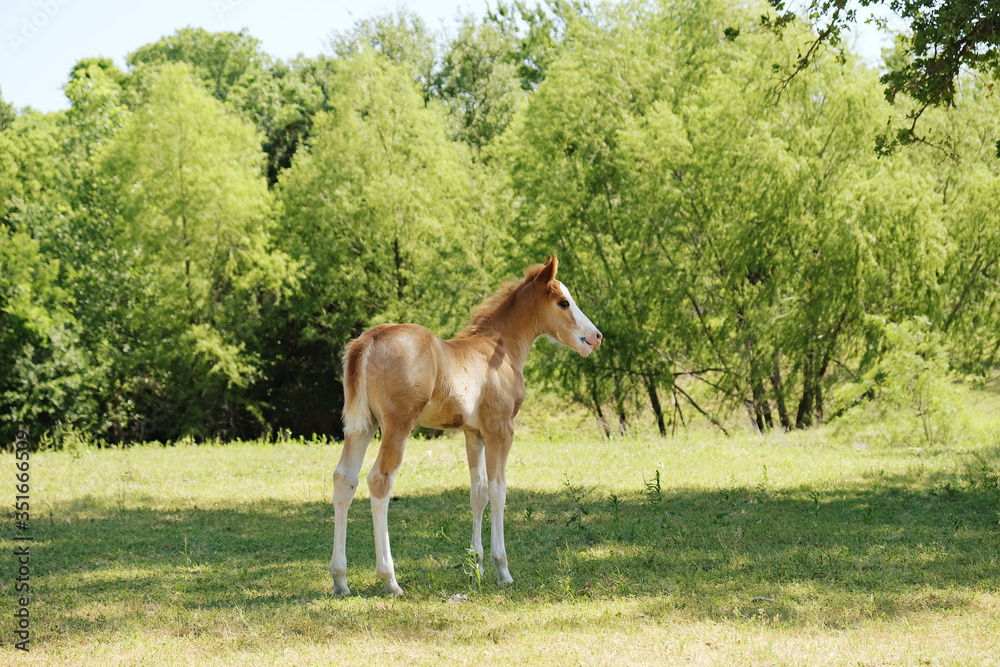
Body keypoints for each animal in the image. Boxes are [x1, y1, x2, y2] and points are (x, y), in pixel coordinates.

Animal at [330, 255, 603, 596]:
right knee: (379, 481)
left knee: (344, 480)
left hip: (361, 426)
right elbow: (499, 490)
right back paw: (390, 580)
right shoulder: (501, 429)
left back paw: (340, 580)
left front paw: (476, 567)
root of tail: (367, 340)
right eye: (564, 302)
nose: (596, 336)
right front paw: (502, 569)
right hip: (397, 425)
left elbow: (478, 492)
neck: (499, 349)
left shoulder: (474, 434)